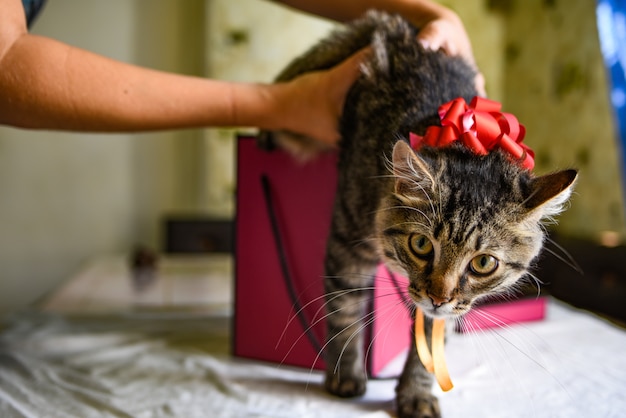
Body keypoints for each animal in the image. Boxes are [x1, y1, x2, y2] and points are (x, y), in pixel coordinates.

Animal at [258, 10, 576, 418]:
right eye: (422, 244)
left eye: (483, 263)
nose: (438, 298)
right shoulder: (347, 242)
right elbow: (344, 309)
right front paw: (345, 374)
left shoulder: (444, 310)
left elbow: (429, 346)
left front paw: (415, 393)